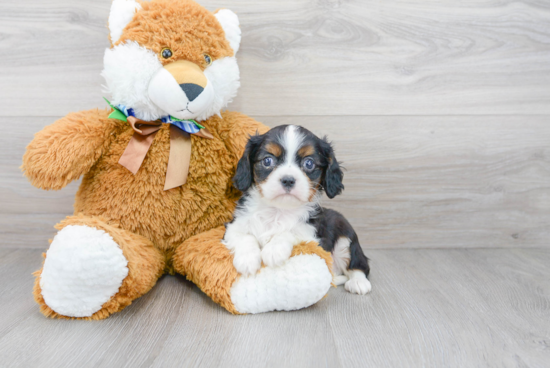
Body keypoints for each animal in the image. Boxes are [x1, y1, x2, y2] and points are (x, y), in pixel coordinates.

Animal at [222, 125, 374, 294]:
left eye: (309, 163)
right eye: (268, 160)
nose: (288, 180)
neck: (278, 211)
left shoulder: (311, 235)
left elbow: (290, 231)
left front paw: (274, 249)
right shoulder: (234, 226)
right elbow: (245, 236)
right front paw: (247, 259)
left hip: (345, 237)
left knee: (360, 265)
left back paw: (358, 282)